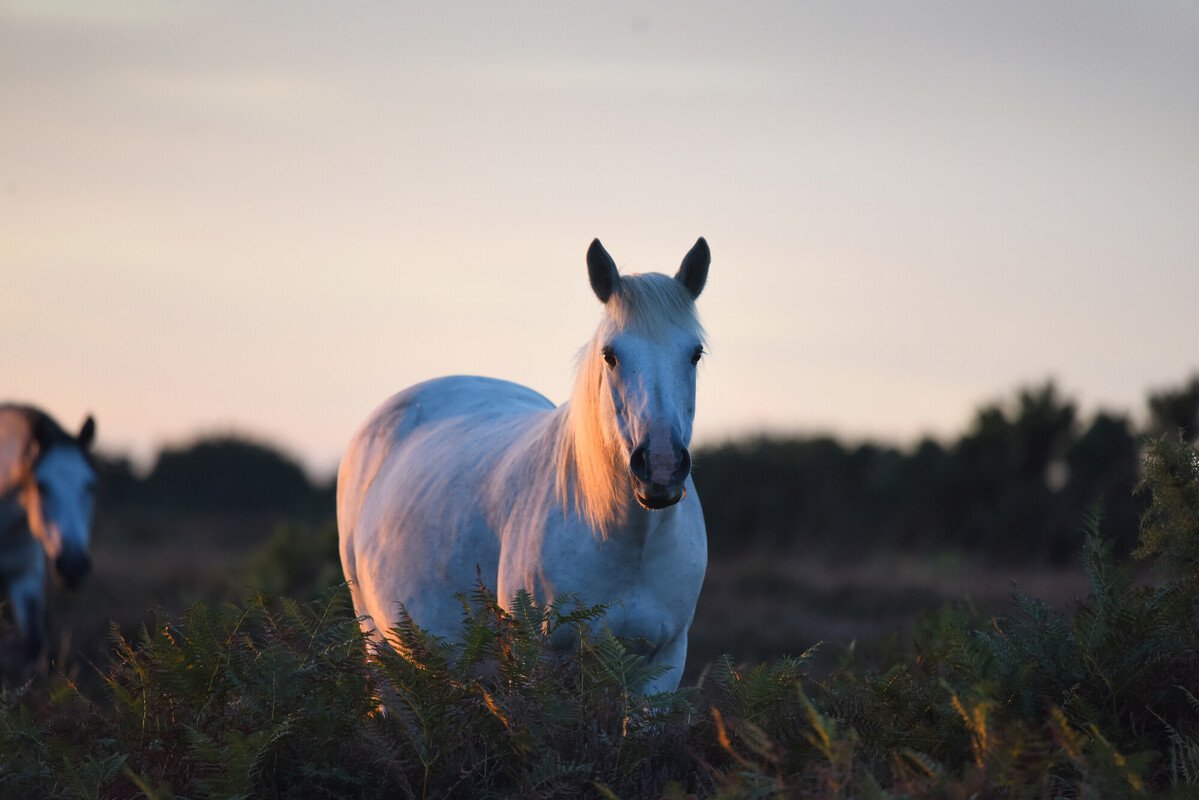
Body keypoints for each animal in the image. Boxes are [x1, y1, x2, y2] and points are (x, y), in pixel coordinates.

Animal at [338, 238, 711, 693]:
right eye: (610, 355)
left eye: (694, 354)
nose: (660, 467)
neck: (631, 540)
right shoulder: (540, 660)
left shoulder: (662, 667)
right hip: (380, 649)